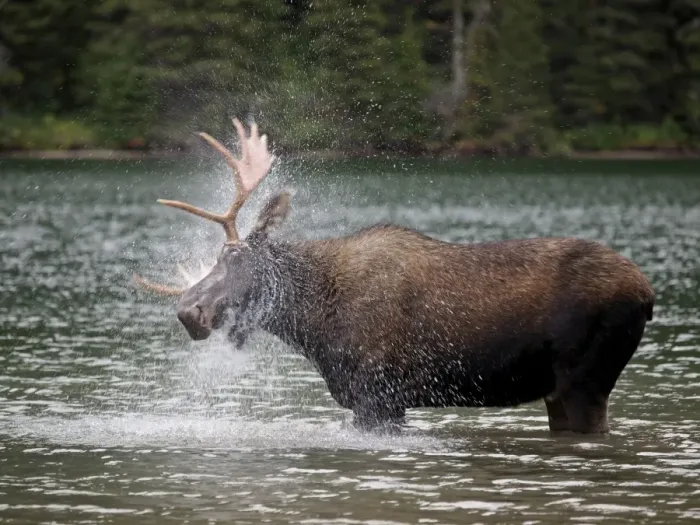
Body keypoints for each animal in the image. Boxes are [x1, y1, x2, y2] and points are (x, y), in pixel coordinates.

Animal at [135, 118, 655, 434]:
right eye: (215, 259)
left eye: (240, 258)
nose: (188, 310)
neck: (313, 324)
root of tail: (648, 295)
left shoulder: (378, 397)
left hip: (584, 378)